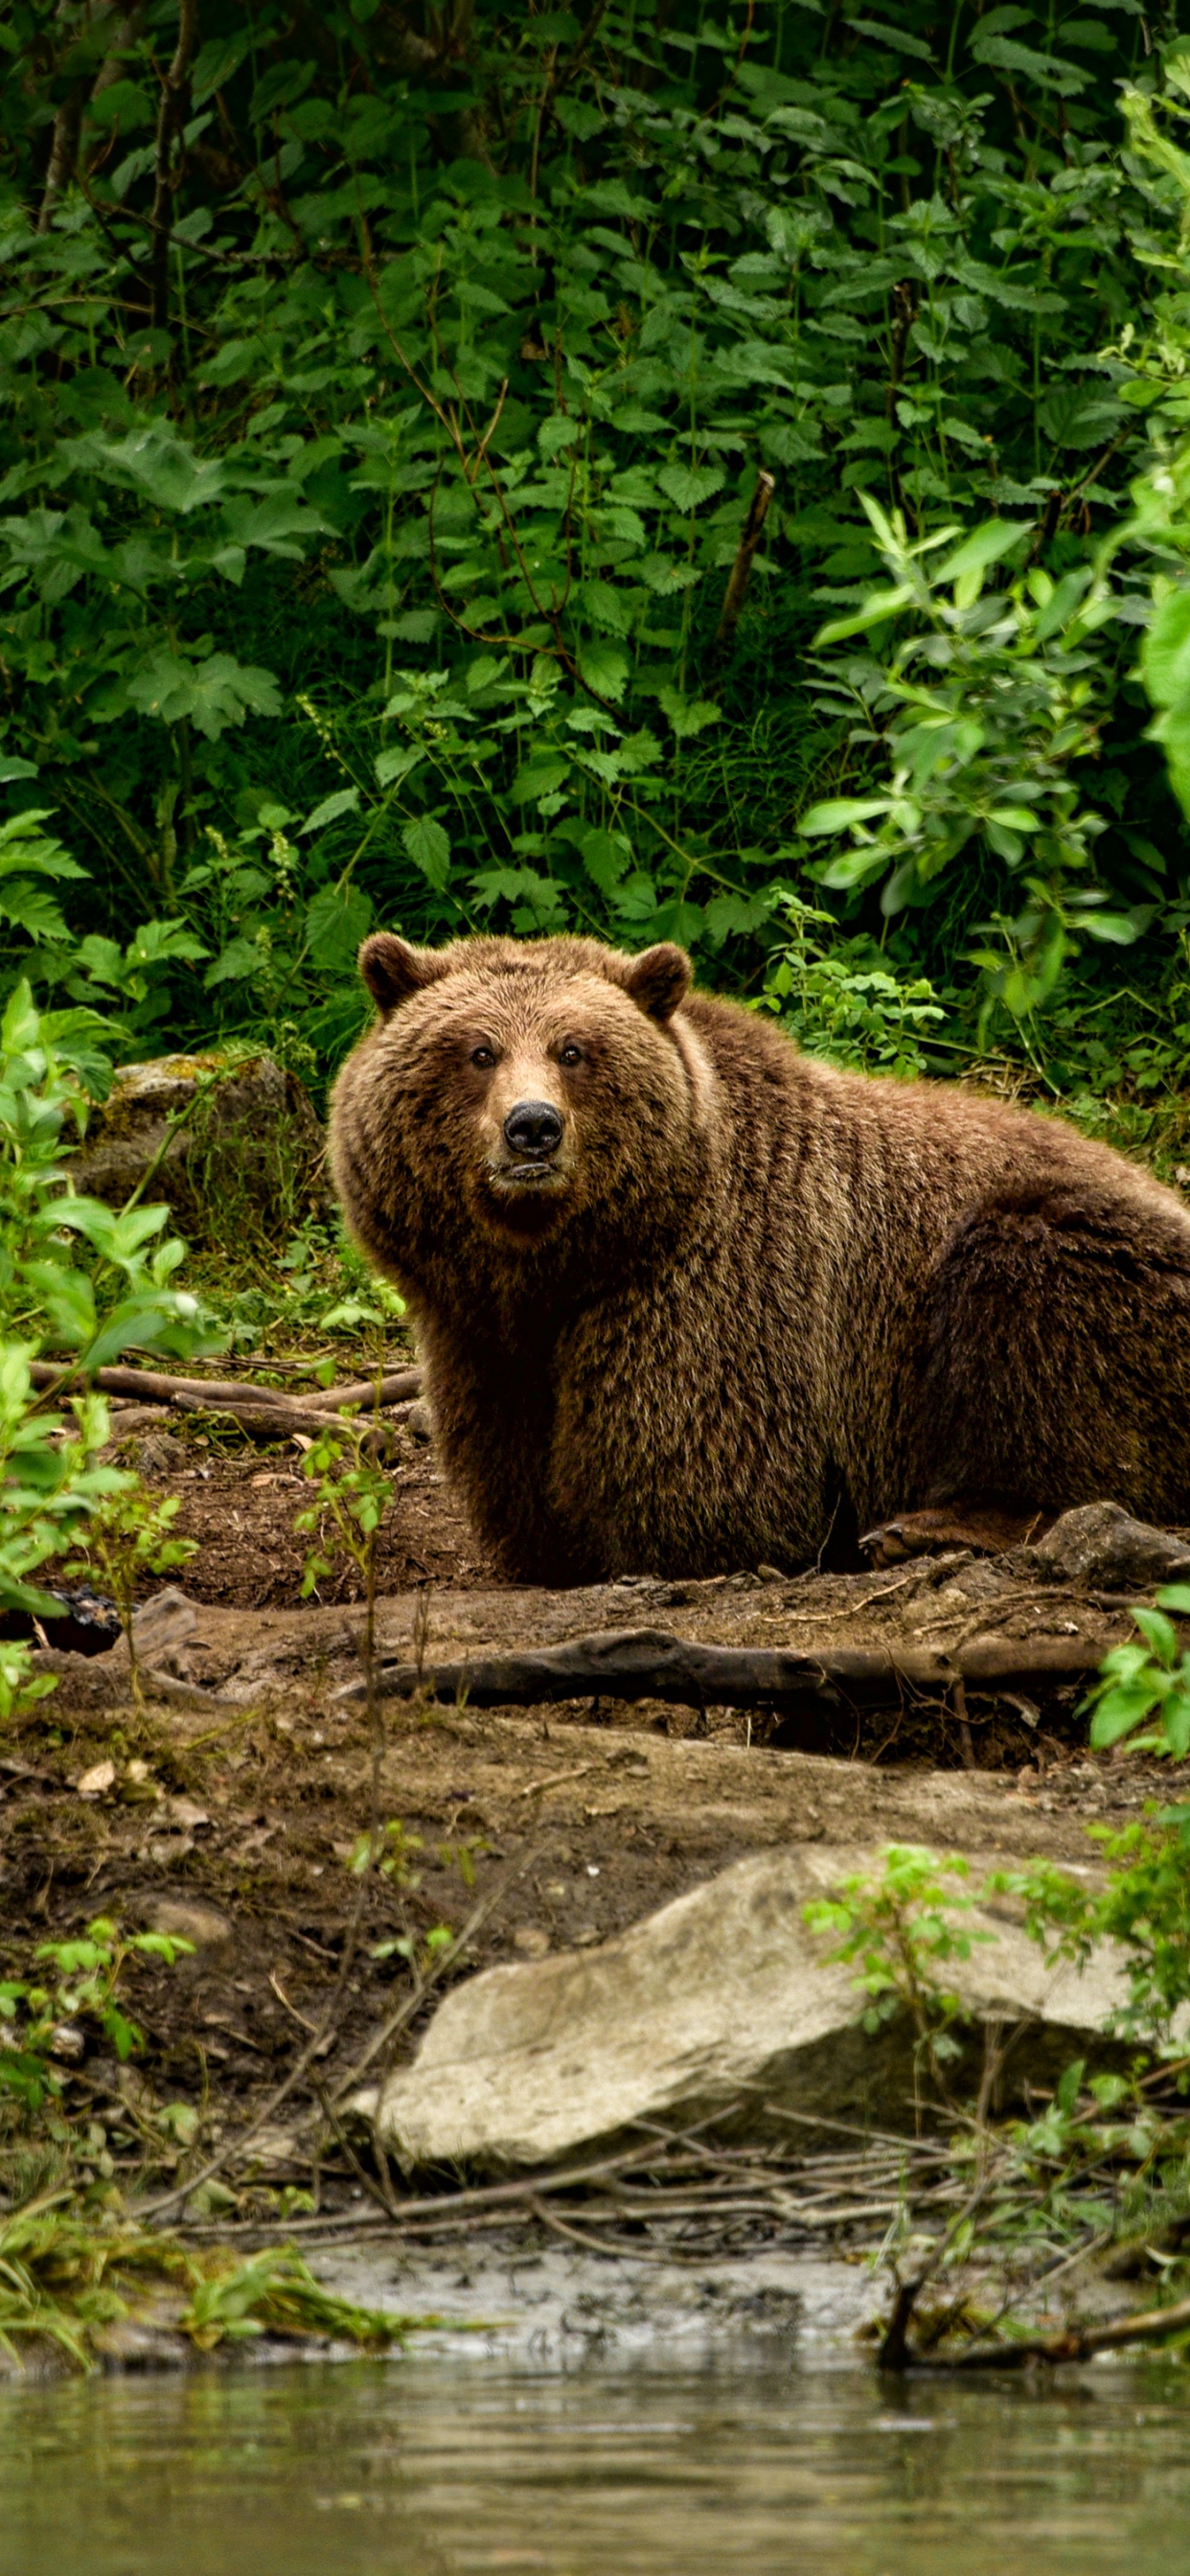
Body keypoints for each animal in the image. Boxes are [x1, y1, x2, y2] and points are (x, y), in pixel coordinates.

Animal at [326, 927, 1190, 1566]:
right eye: (479, 1051)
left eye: (573, 1050)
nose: (532, 1127)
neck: (565, 1263)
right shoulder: (477, 1333)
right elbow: (512, 1464)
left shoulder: (717, 1294)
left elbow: (703, 1474)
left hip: (1088, 1260)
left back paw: (925, 1526)